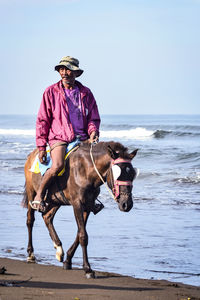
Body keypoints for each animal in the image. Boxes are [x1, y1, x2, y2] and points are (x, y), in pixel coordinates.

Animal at [21, 142, 138, 278]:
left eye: (132, 174)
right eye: (117, 174)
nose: (126, 204)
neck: (87, 170)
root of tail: (31, 155)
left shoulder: (88, 206)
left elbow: (79, 233)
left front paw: (68, 260)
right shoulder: (77, 204)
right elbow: (83, 235)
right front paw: (87, 268)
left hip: (56, 200)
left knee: (47, 217)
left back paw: (58, 248)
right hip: (31, 192)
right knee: (30, 220)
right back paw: (31, 254)